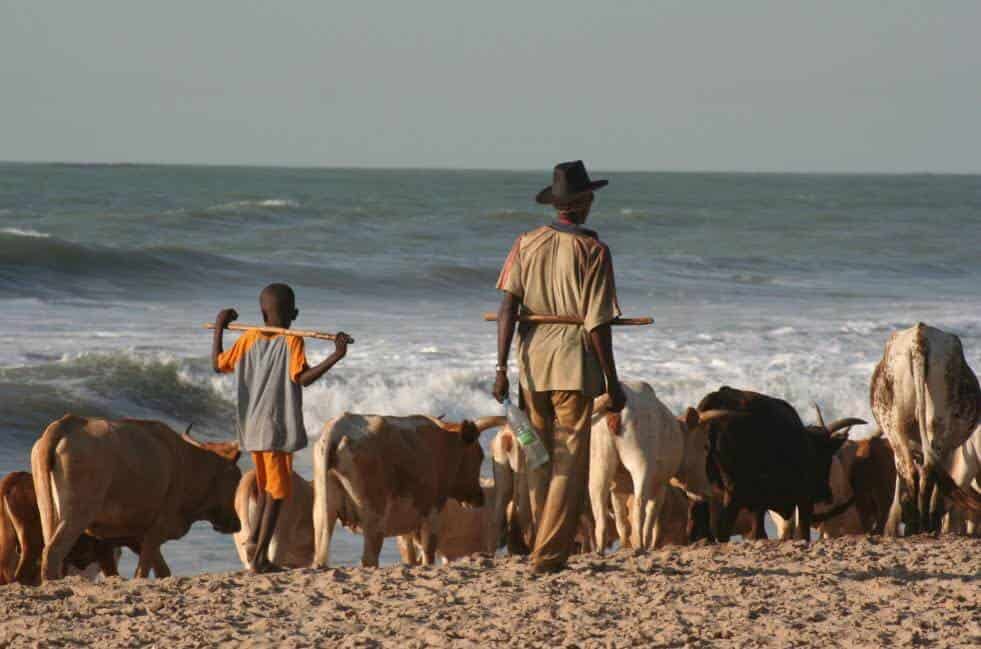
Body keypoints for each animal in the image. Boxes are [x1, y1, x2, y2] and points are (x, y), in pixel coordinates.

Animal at [30, 412, 241, 580]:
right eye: (237, 479)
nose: (237, 524)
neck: (188, 463)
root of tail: (69, 422)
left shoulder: (143, 535)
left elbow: (162, 570)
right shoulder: (158, 528)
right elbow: (144, 571)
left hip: (48, 510)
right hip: (78, 513)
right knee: (54, 552)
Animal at [312, 412, 502, 564]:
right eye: (479, 456)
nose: (480, 497)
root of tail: (339, 427)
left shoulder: (407, 527)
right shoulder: (431, 514)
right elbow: (428, 555)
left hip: (322, 514)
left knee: (320, 558)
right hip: (374, 517)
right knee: (369, 558)